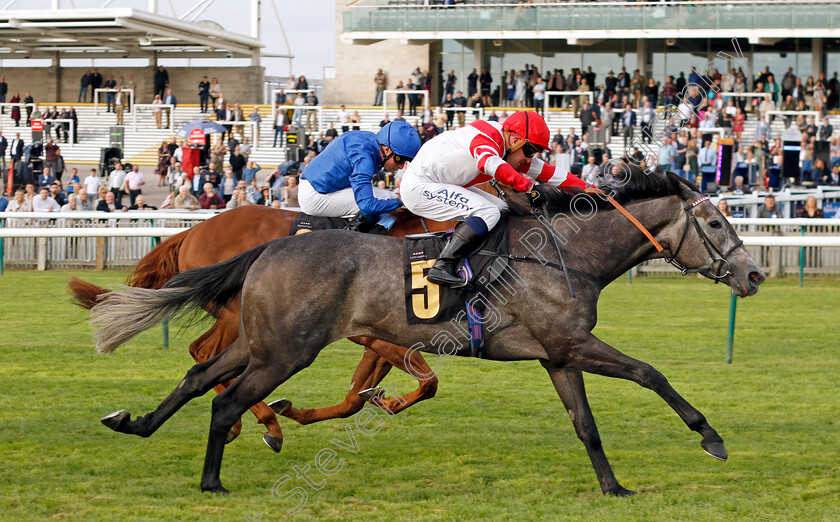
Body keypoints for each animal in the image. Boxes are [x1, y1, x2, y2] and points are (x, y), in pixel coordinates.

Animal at [72, 203, 460, 446]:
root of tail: (195, 230)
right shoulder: (373, 336)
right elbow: (427, 382)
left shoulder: (381, 339)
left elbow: (358, 397)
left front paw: (378, 401)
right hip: (235, 314)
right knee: (205, 351)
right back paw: (263, 424)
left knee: (205, 354)